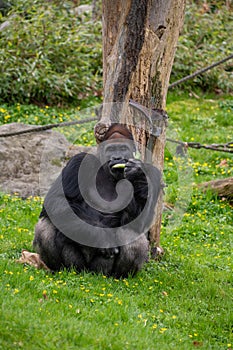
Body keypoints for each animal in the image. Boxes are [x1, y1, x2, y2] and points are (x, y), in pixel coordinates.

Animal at [33, 124, 161, 278]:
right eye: (111, 149)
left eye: (123, 148)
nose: (117, 157)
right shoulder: (79, 161)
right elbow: (57, 200)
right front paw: (103, 239)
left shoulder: (153, 173)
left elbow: (140, 221)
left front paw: (137, 174)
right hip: (79, 267)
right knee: (48, 224)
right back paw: (60, 269)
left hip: (99, 271)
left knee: (131, 234)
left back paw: (119, 276)